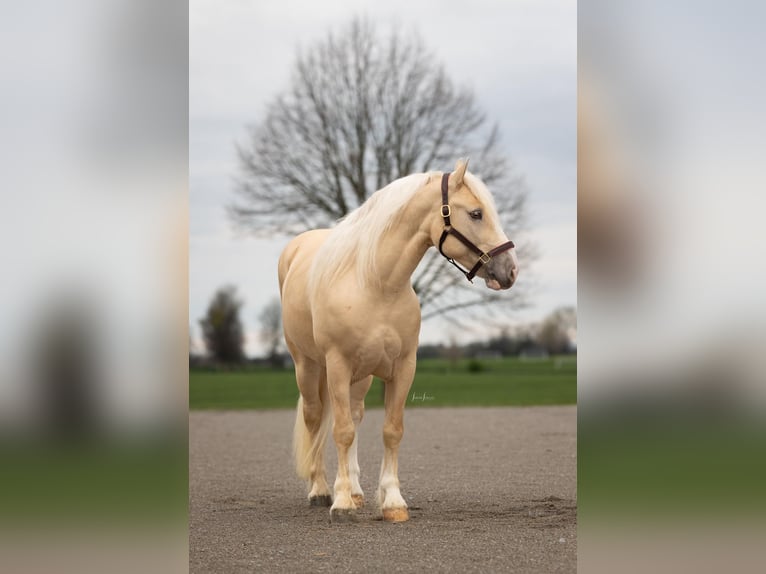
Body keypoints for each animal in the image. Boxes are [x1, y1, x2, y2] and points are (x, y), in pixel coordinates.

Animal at [277, 159, 518, 522]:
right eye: (476, 214)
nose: (510, 271)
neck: (375, 283)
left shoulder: (403, 368)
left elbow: (391, 430)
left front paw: (391, 502)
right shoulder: (338, 365)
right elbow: (341, 431)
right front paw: (341, 504)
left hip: (360, 377)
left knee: (355, 415)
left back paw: (356, 491)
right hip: (308, 367)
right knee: (315, 418)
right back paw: (321, 490)